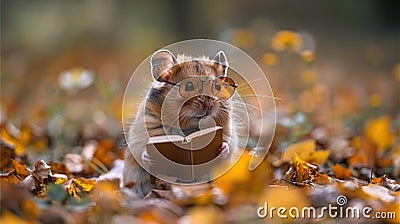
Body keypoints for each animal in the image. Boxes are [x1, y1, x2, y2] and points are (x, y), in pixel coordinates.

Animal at [123, 50, 238, 197]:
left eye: (217, 86)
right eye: (189, 86)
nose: (209, 106)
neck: (189, 126)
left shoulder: (229, 133)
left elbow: (228, 145)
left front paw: (222, 148)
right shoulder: (139, 135)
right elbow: (141, 149)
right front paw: (149, 157)